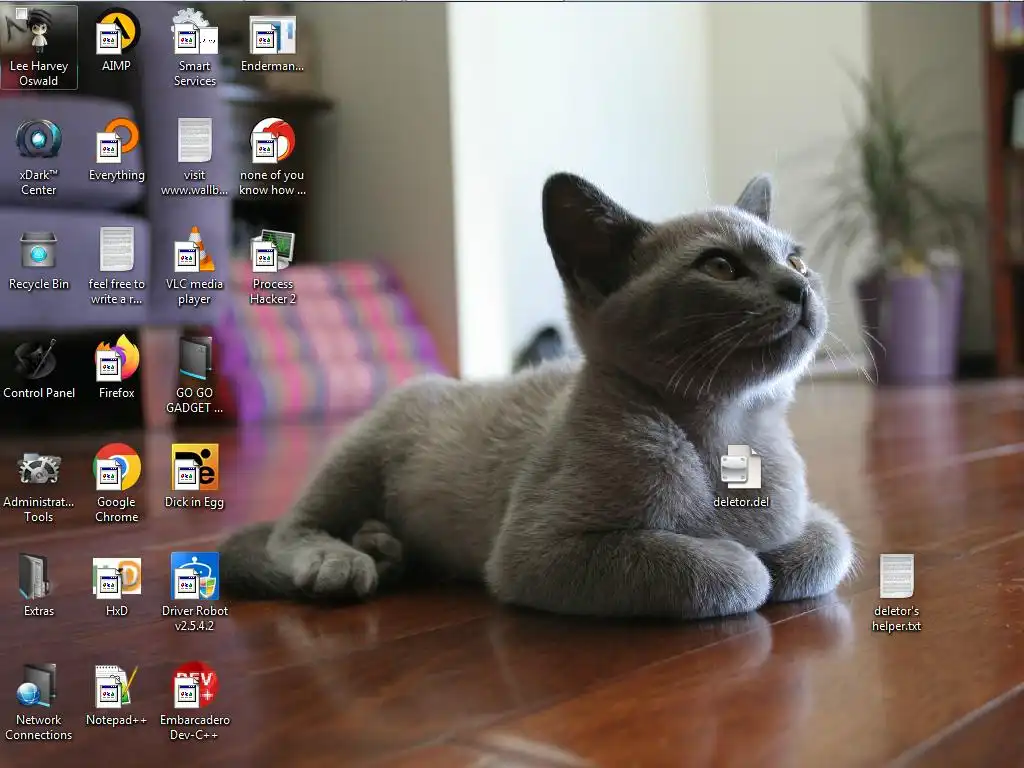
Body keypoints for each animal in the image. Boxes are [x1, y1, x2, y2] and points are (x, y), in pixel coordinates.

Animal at [218, 172, 855, 619]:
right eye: (720, 266)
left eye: (796, 259)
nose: (798, 285)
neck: (728, 431)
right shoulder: (540, 550)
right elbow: (725, 570)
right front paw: (744, 560)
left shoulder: (811, 516)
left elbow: (827, 545)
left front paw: (772, 554)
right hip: (360, 454)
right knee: (290, 528)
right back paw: (347, 560)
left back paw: (383, 546)